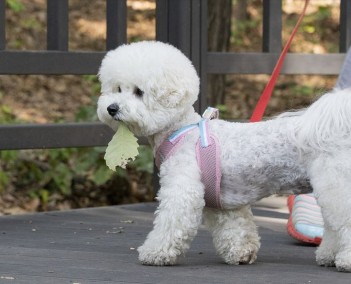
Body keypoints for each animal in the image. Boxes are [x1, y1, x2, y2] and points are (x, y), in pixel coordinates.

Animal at [97, 41, 351, 272]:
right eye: (117, 89)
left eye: (139, 92)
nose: (111, 108)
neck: (180, 131)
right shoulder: (224, 203)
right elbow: (235, 228)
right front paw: (241, 254)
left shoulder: (183, 191)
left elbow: (171, 222)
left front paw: (155, 252)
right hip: (330, 188)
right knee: (332, 225)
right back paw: (328, 255)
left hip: (335, 185)